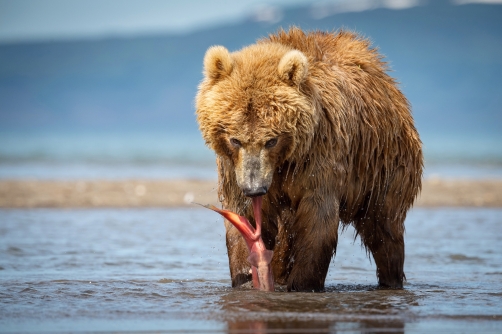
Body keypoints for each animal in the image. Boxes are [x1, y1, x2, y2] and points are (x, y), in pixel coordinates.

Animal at [194, 27, 422, 290]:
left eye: (271, 140)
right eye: (235, 140)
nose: (254, 189)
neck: (284, 162)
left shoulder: (320, 158)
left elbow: (317, 222)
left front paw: (302, 284)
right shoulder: (235, 171)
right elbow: (243, 221)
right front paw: (246, 278)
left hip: (384, 168)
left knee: (385, 231)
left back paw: (390, 280)